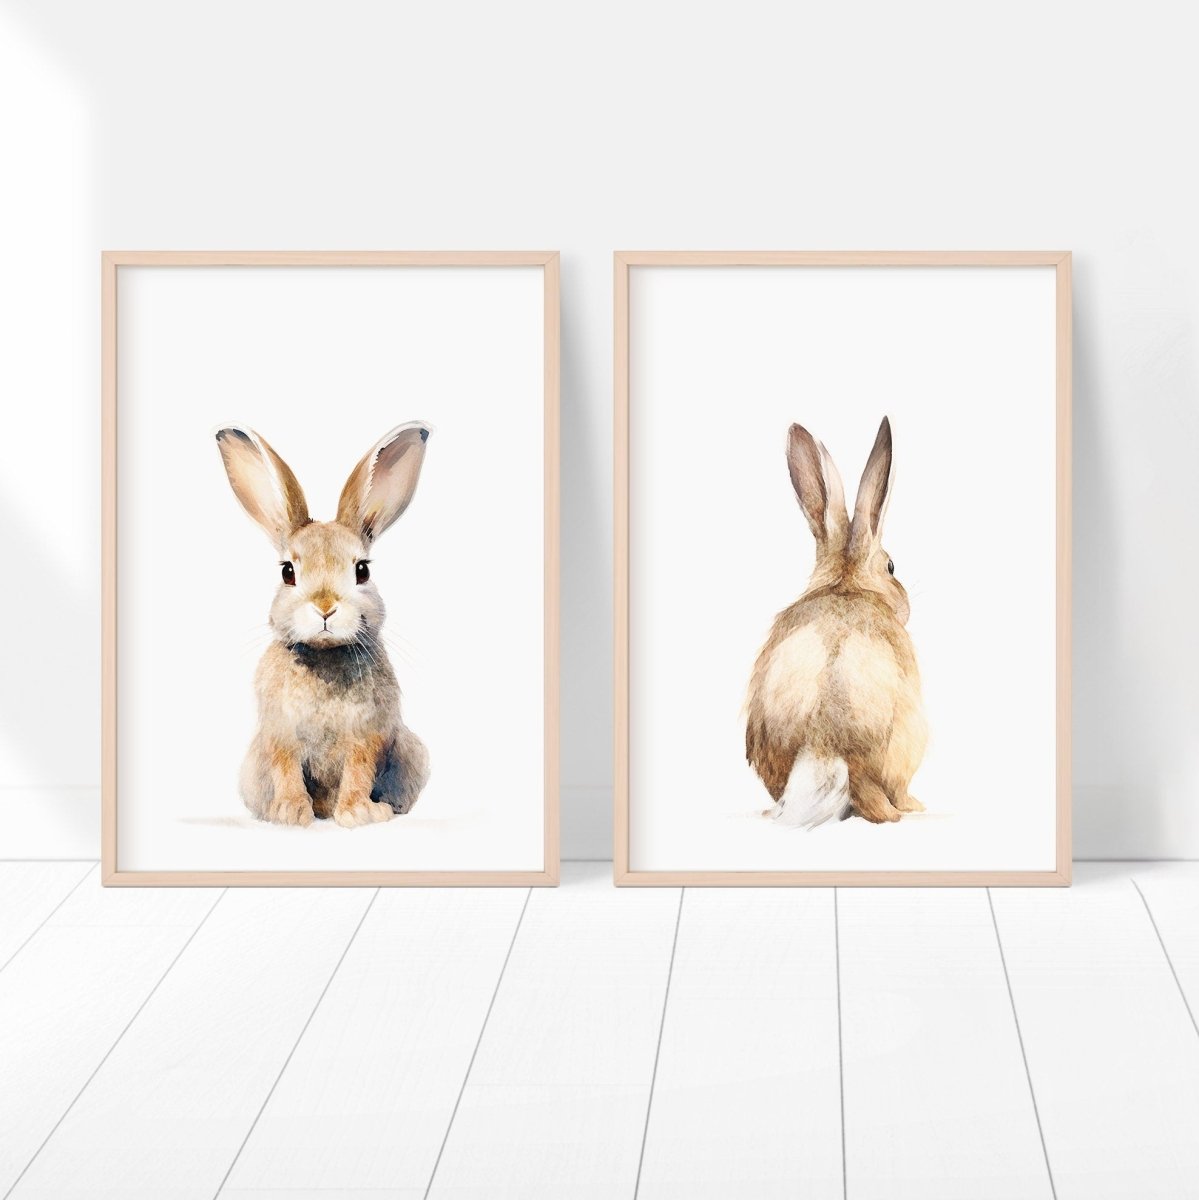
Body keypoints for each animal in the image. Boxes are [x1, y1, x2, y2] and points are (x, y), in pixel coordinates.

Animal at [215, 423, 431, 828]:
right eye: (288, 572)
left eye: (362, 571)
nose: (326, 608)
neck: (324, 656)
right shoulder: (280, 734)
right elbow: (286, 770)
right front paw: (290, 813)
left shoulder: (368, 735)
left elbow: (359, 770)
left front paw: (358, 813)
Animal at [745, 417, 927, 827]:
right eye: (891, 566)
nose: (906, 606)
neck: (846, 584)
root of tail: (824, 746)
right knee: (886, 805)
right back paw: (914, 807)